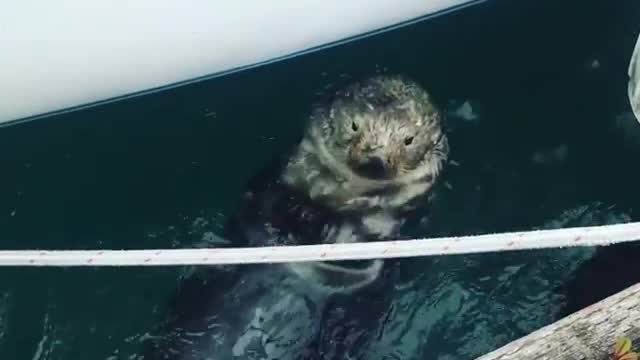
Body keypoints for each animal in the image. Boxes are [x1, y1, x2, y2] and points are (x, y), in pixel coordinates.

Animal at [142, 74, 448, 358]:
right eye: (354, 125)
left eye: (408, 140)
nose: (375, 158)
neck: (345, 196)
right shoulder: (277, 181)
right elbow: (270, 212)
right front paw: (305, 214)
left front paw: (336, 230)